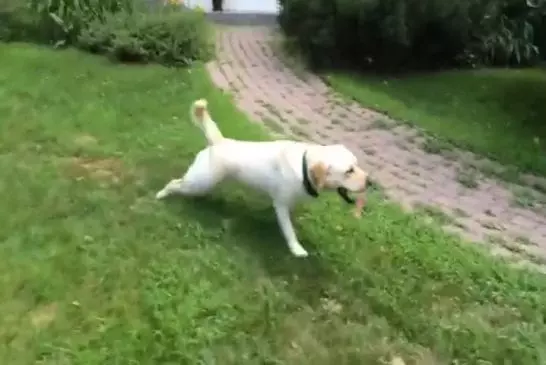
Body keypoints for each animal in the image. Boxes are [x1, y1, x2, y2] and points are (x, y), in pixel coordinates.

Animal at [155, 99, 368, 256]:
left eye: (357, 165)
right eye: (349, 171)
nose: (369, 181)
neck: (304, 166)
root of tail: (219, 142)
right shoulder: (281, 204)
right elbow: (289, 230)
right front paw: (296, 249)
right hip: (199, 182)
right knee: (175, 183)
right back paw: (161, 194)